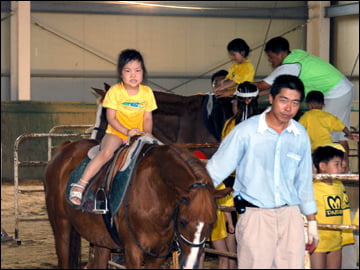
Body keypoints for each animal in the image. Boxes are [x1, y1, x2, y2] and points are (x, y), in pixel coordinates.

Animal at [44, 138, 231, 268]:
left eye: (211, 223)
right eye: (183, 222)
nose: (191, 263)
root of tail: (64, 149)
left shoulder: (159, 253)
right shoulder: (133, 251)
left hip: (100, 239)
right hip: (62, 228)